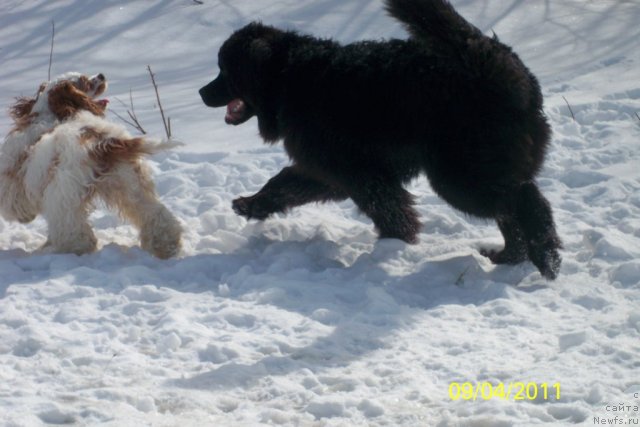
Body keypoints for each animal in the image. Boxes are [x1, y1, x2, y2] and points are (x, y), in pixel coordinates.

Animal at [0, 72, 182, 260]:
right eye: (85, 81)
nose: (101, 75)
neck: (48, 112)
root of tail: (103, 143)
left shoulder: (14, 178)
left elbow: (14, 204)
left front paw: (26, 219)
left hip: (64, 196)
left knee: (74, 232)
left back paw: (69, 251)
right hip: (129, 184)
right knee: (156, 216)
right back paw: (167, 247)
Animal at [199, 0, 560, 280]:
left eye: (224, 70)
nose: (202, 92)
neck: (287, 76)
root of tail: (491, 58)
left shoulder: (358, 172)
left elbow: (386, 207)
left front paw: (393, 245)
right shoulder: (325, 167)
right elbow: (283, 183)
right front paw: (251, 204)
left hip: (460, 174)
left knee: (524, 199)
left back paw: (546, 258)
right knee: (511, 208)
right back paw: (510, 257)